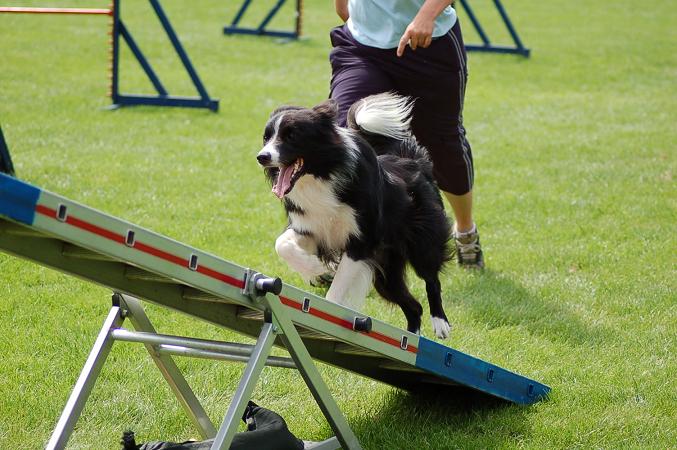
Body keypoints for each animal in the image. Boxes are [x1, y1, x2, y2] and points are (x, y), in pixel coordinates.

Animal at [256, 93, 452, 338]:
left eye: (291, 136)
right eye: (266, 137)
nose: (262, 157)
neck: (322, 175)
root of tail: (413, 160)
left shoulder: (360, 242)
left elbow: (336, 290)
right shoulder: (313, 229)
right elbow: (281, 244)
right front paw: (316, 270)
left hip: (421, 241)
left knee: (431, 278)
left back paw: (440, 323)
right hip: (386, 272)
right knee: (413, 306)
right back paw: (411, 339)